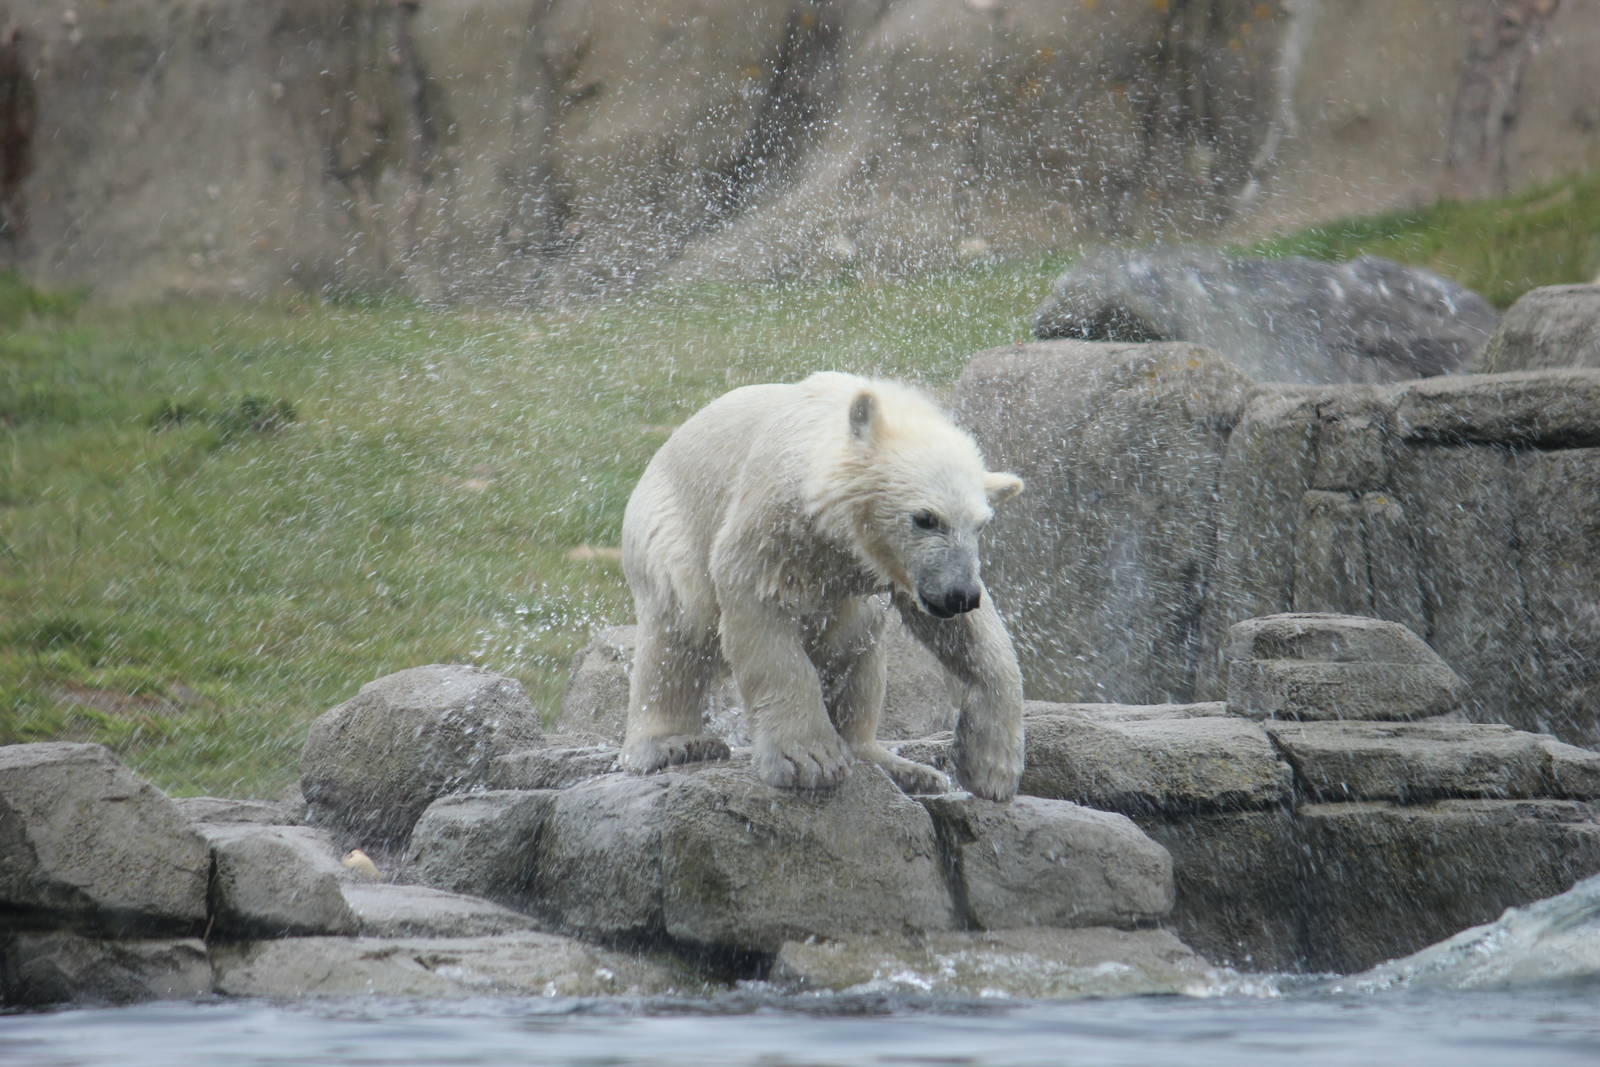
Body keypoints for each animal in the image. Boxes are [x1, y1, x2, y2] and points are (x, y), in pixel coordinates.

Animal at [617, 371, 1026, 802]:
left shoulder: (895, 568)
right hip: (668, 532)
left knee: (857, 643)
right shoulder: (776, 518)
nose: (959, 595)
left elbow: (971, 638)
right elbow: (758, 605)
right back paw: (674, 743)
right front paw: (809, 760)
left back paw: (902, 767)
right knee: (679, 629)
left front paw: (992, 767)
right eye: (925, 518)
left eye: (980, 525)